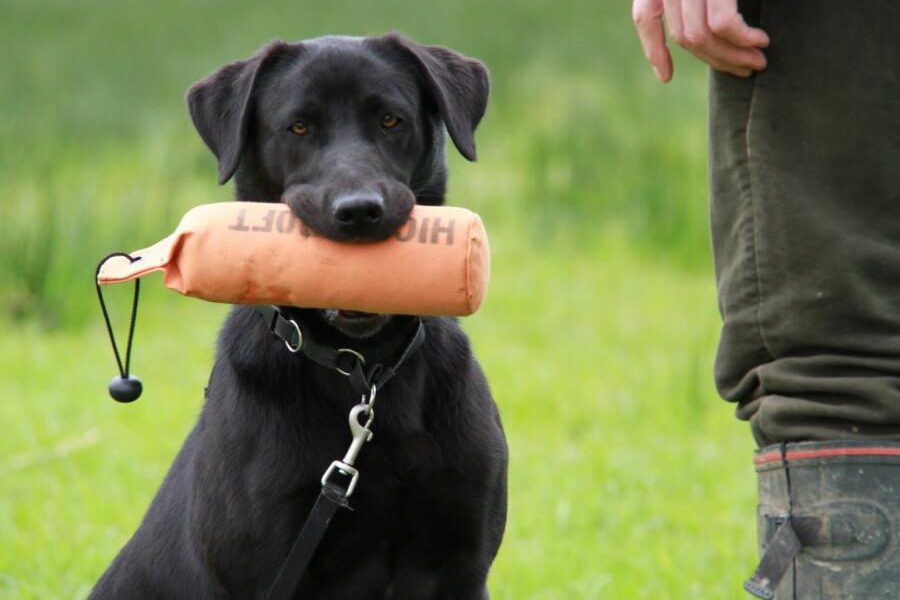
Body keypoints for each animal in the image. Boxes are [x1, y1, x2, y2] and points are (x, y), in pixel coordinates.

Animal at [89, 34, 506, 600]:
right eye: (299, 127)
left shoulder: (464, 560)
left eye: (391, 120)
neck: (364, 368)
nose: (359, 211)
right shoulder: (268, 567)